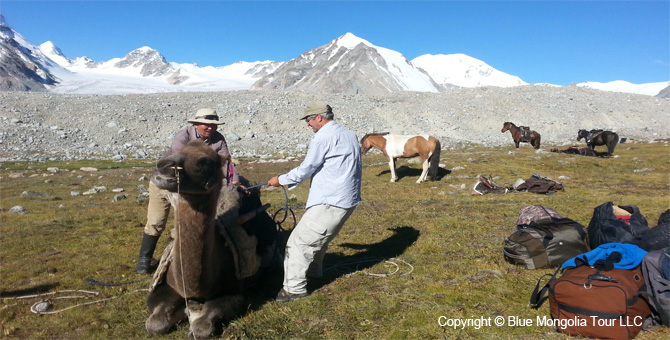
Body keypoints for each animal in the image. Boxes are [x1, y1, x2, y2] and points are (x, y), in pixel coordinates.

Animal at [145, 139, 276, 338]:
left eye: (205, 161)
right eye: (177, 149)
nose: (164, 166)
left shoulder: (232, 290)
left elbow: (202, 328)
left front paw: (193, 318)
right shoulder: (164, 285)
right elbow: (154, 323)